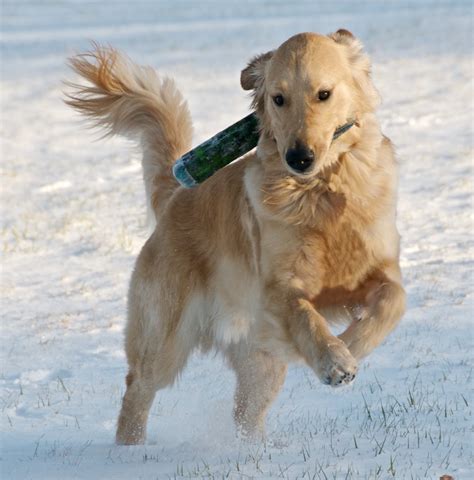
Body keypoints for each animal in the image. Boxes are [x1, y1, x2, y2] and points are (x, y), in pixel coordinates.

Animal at [66, 29, 406, 446]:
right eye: (278, 98)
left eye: (323, 94)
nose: (299, 158)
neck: (323, 191)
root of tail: (176, 195)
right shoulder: (278, 291)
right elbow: (306, 315)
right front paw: (334, 359)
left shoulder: (380, 271)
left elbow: (393, 301)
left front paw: (351, 346)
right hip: (164, 338)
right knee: (137, 390)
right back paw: (129, 452)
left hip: (260, 360)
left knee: (246, 415)